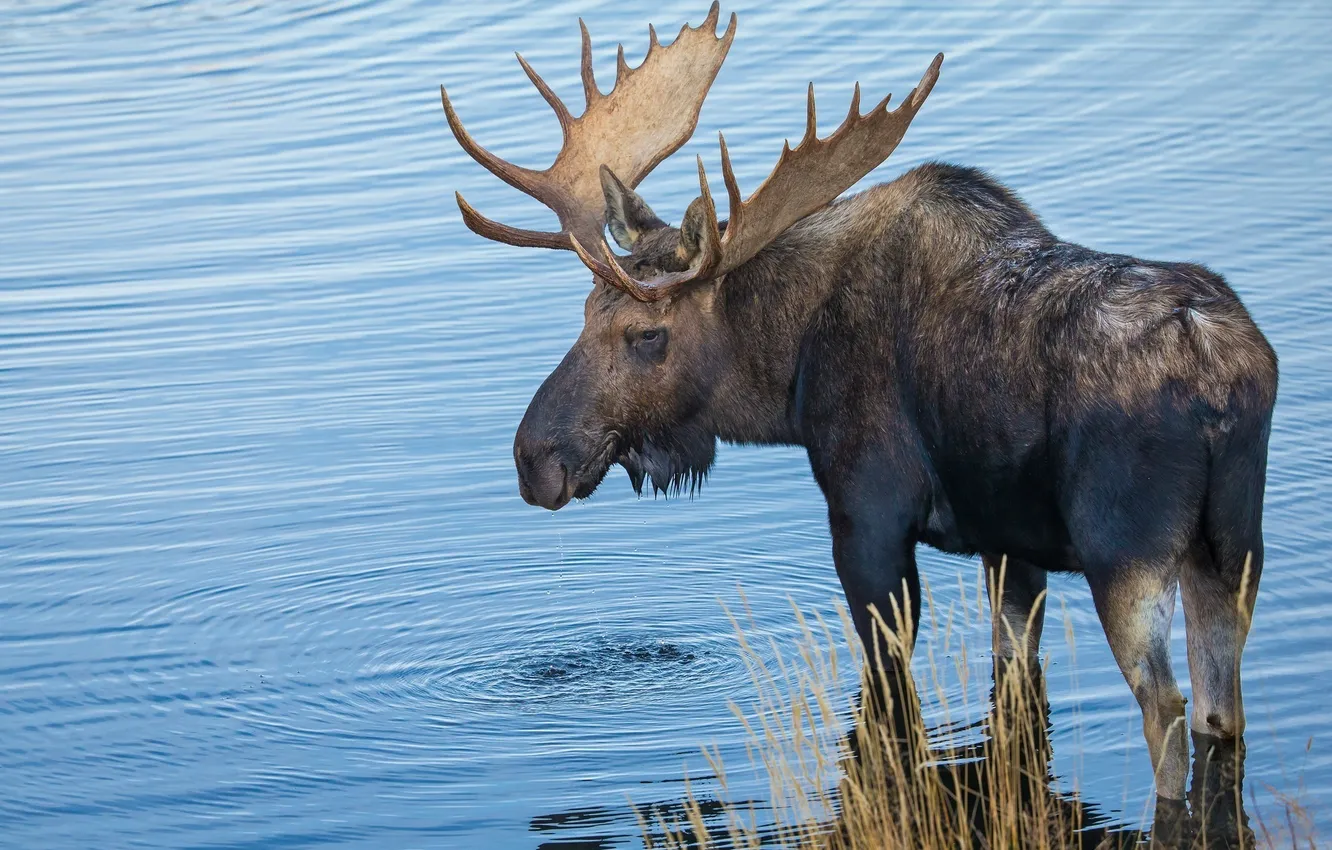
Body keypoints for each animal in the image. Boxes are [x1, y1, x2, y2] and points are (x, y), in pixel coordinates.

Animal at [439, 3, 1278, 810]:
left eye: (646, 334)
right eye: (583, 311)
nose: (534, 458)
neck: (787, 376)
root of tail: (1222, 378)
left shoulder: (868, 518)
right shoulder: (1008, 546)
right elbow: (1013, 679)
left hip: (1126, 553)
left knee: (1167, 710)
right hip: (1232, 546)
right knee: (1221, 709)